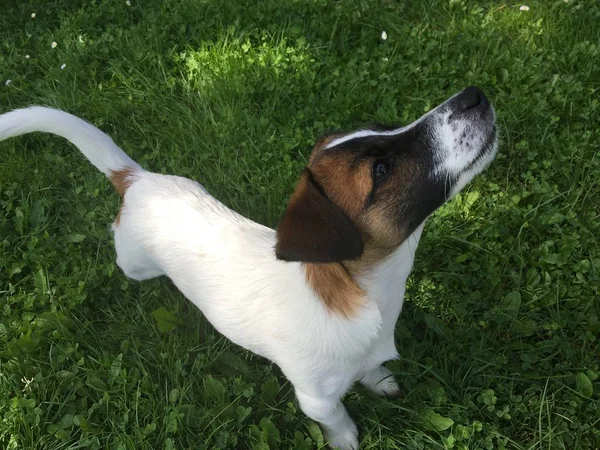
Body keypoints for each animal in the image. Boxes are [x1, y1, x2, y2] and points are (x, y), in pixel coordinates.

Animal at [0, 86, 496, 448]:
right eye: (381, 168)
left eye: (386, 128)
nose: (473, 94)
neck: (364, 296)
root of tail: (137, 180)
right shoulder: (316, 399)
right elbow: (337, 418)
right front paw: (347, 440)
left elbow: (373, 371)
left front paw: (380, 380)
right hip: (132, 262)